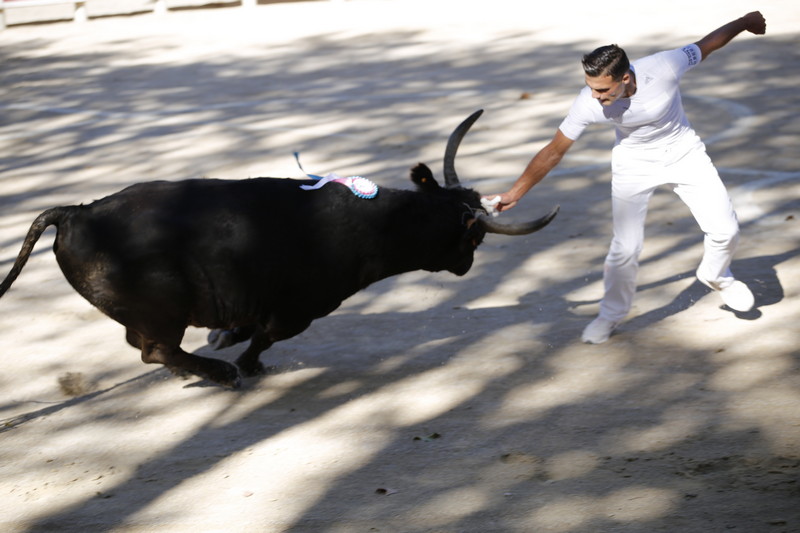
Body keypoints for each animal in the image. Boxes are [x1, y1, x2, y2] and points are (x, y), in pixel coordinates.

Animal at [0, 111, 556, 386]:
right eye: (475, 236)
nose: (467, 265)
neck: (373, 221)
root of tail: (78, 212)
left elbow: (246, 328)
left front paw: (225, 338)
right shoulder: (299, 311)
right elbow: (265, 339)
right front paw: (245, 363)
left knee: (148, 347)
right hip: (162, 313)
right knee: (156, 349)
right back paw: (222, 375)